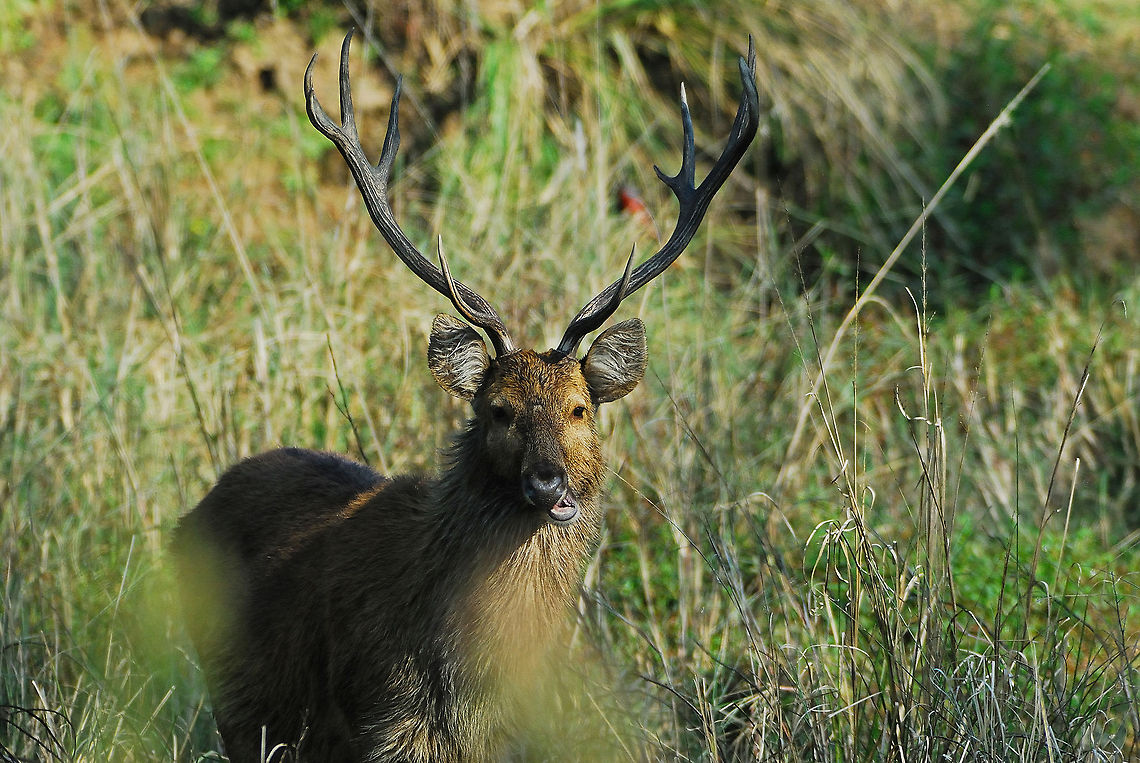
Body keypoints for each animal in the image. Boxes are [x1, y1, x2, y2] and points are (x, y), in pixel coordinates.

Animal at [170, 29, 758, 763]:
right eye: (498, 409)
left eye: (580, 408)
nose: (549, 481)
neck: (466, 685)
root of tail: (194, 511)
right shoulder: (386, 719)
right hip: (241, 696)